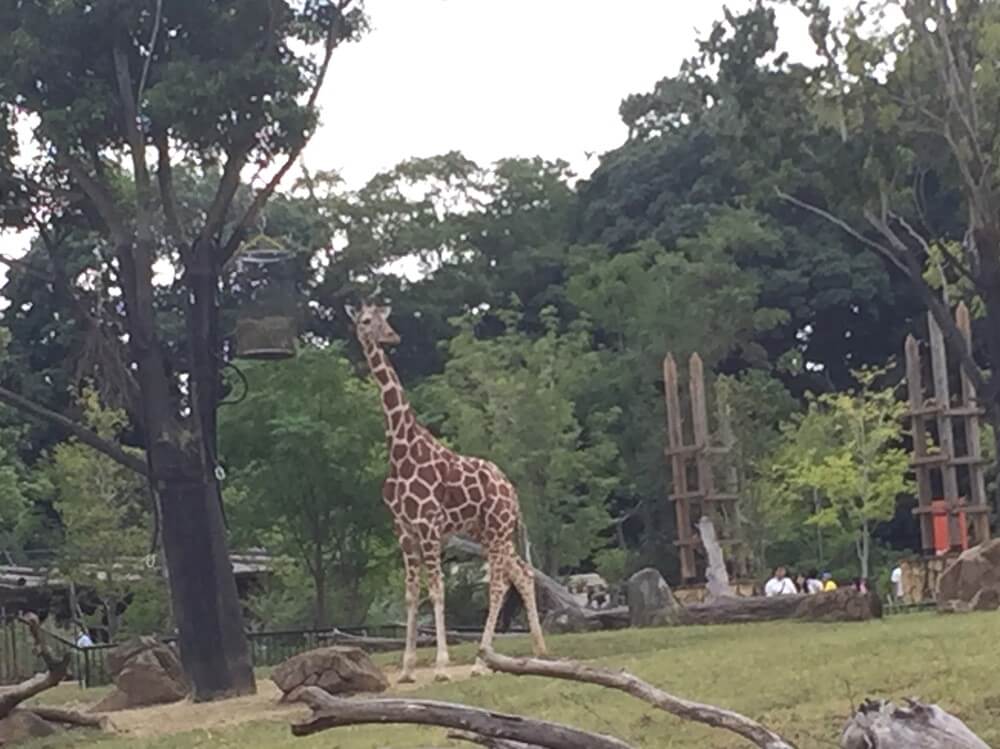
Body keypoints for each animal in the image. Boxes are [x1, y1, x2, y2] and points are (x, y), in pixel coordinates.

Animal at [344, 300, 548, 680]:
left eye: (384, 320)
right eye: (365, 321)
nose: (392, 336)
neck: (400, 449)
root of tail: (512, 492)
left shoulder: (428, 526)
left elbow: (438, 591)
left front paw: (441, 665)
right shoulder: (404, 530)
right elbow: (412, 594)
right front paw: (407, 668)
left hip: (498, 530)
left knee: (499, 584)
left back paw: (482, 661)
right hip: (487, 533)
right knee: (523, 574)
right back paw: (539, 651)